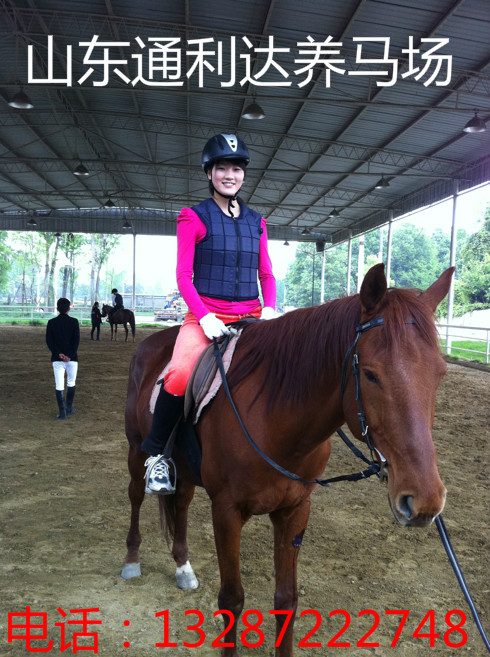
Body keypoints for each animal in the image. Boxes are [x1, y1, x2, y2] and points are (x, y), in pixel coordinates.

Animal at [122, 264, 456, 652]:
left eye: (440, 374)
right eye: (370, 374)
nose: (425, 500)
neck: (273, 417)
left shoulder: (295, 510)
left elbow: (286, 600)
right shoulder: (226, 512)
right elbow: (232, 600)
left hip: (186, 469)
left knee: (182, 504)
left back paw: (182, 566)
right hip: (136, 450)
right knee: (135, 495)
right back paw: (131, 561)